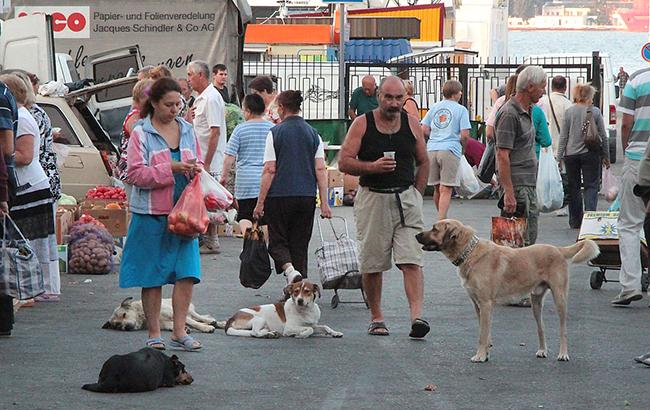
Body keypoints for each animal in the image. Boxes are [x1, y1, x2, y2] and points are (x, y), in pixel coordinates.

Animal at [416, 219, 596, 364]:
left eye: (434, 229)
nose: (417, 235)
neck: (470, 252)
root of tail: (558, 249)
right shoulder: (478, 306)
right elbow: (485, 333)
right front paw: (486, 354)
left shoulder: (486, 304)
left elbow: (482, 334)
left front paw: (480, 356)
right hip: (536, 303)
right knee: (541, 327)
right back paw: (542, 350)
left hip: (560, 299)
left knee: (563, 330)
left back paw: (563, 354)